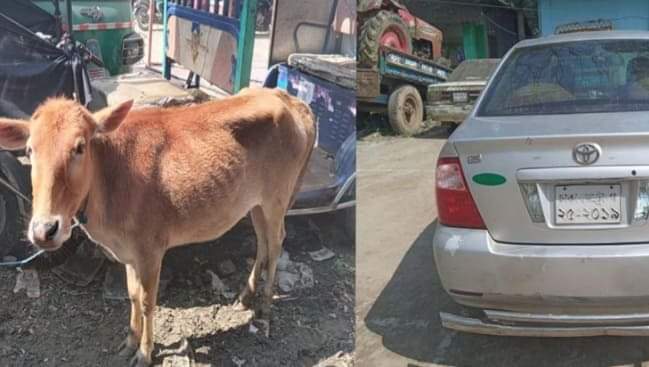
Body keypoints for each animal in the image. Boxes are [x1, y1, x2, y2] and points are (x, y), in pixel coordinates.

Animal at [0, 87, 316, 366]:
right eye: (30, 149)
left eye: (79, 147)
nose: (44, 230)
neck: (111, 178)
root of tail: (291, 100)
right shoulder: (128, 253)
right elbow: (131, 296)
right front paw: (130, 342)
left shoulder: (151, 251)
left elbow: (148, 302)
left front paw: (145, 353)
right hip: (256, 204)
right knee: (263, 243)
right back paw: (245, 296)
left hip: (277, 199)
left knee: (276, 244)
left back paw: (265, 307)